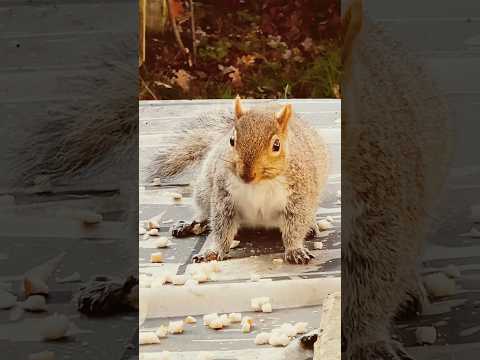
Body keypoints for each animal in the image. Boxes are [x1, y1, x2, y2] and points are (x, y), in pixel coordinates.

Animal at [150, 97, 330, 266]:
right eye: (231, 140)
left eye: (276, 145)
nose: (246, 175)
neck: (259, 184)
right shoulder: (224, 196)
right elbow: (221, 226)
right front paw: (212, 252)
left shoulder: (297, 197)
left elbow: (295, 225)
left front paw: (295, 250)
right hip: (205, 188)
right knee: (204, 212)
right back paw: (189, 224)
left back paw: (311, 226)